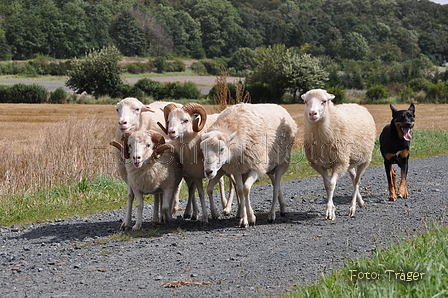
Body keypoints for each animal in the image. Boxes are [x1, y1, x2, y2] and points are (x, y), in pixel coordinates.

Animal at [300, 88, 378, 221]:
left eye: (324, 101)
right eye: (305, 101)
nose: (312, 113)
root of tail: (356, 104)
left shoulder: (339, 162)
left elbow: (331, 184)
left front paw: (329, 212)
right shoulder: (319, 165)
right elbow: (327, 185)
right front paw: (332, 208)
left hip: (364, 159)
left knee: (357, 181)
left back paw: (352, 208)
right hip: (349, 161)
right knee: (353, 177)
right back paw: (360, 202)